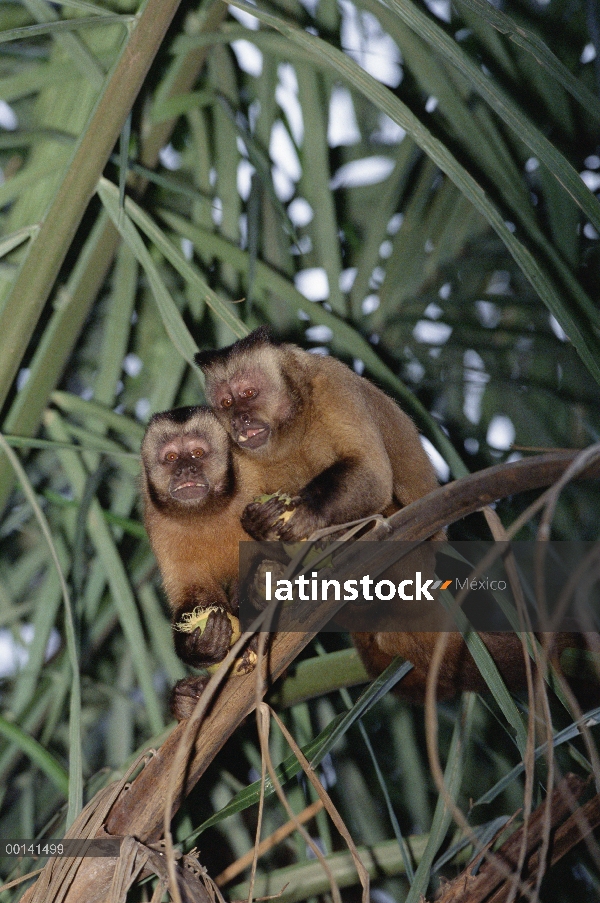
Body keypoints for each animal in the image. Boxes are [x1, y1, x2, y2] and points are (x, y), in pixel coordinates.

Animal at [142, 404, 256, 720]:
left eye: (196, 453)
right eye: (171, 457)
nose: (186, 470)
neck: (205, 511)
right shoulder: (157, 523)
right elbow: (193, 591)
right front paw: (200, 646)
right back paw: (189, 697)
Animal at [195, 328, 596, 704]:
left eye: (248, 393)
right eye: (226, 402)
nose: (239, 419)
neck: (290, 429)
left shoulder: (332, 385)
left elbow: (372, 475)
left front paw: (306, 516)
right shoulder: (236, 452)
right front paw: (256, 532)